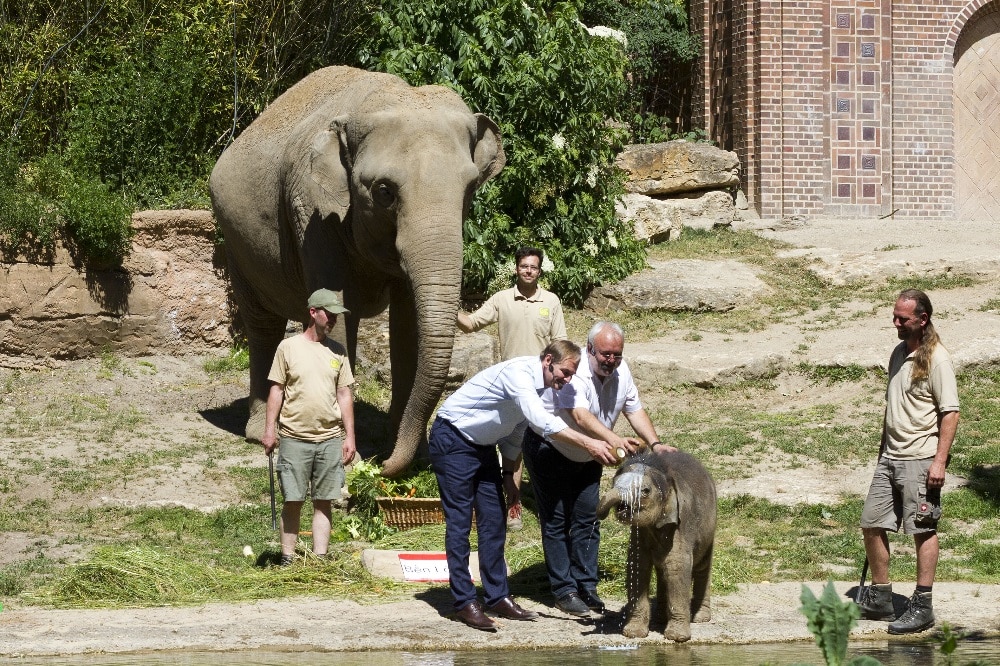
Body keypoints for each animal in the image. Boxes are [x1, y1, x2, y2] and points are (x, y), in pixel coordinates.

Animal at [212, 65, 508, 474]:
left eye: (469, 189)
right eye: (384, 192)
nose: (383, 466)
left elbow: (406, 325)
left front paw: (408, 454)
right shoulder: (312, 211)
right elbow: (333, 307)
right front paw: (347, 459)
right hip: (235, 242)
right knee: (262, 324)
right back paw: (260, 433)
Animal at [596, 446, 716, 640]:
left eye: (645, 490)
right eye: (614, 482)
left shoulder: (681, 524)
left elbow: (677, 567)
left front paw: (676, 638)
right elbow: (638, 566)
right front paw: (633, 634)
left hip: (710, 530)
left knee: (701, 567)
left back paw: (700, 618)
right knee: (662, 572)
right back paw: (660, 619)